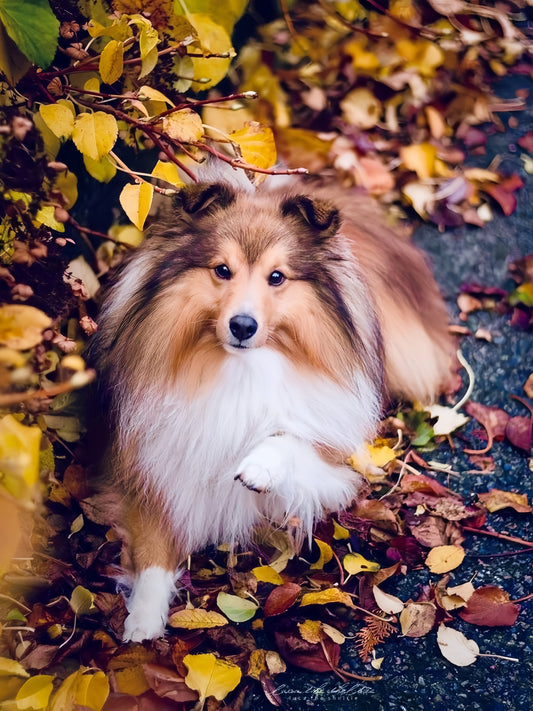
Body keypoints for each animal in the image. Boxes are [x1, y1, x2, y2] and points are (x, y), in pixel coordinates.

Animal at [89, 177, 456, 640]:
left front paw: (259, 466)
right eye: (221, 270)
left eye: (277, 277)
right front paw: (142, 620)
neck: (238, 370)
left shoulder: (336, 470)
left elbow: (290, 439)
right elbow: (153, 550)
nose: (243, 326)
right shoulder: (148, 468)